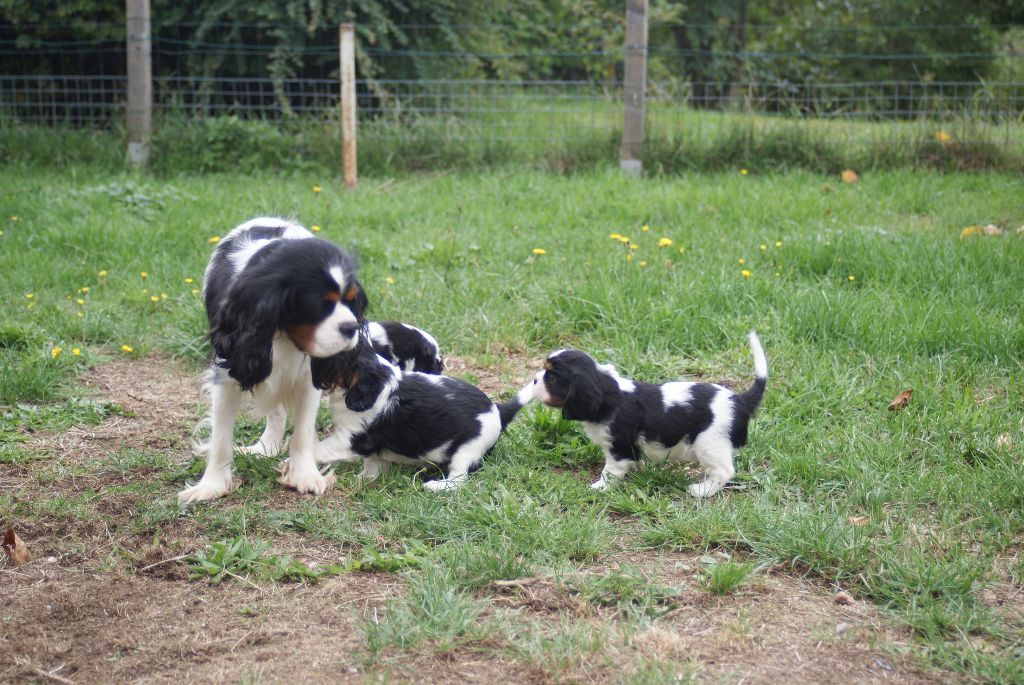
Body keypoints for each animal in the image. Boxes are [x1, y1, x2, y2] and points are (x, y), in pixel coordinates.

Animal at [177, 217, 367, 504]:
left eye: (351, 300)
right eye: (319, 306)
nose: (351, 327)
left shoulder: (310, 375)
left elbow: (303, 432)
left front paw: (305, 475)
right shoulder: (229, 368)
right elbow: (220, 437)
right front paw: (212, 486)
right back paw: (267, 447)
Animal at [312, 330, 533, 491]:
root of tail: (498, 409)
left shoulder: (351, 438)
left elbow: (320, 450)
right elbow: (373, 465)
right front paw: (364, 479)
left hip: (468, 450)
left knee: (459, 479)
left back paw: (435, 486)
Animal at [530, 332, 767, 497]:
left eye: (552, 377)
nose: (534, 379)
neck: (608, 392)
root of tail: (739, 400)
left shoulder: (619, 448)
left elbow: (610, 471)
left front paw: (599, 487)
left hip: (709, 443)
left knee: (724, 471)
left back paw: (701, 491)